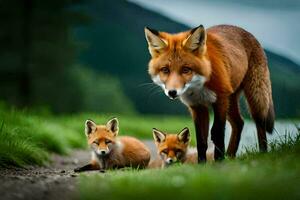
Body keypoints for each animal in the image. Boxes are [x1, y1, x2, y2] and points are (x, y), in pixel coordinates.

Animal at [145, 24, 274, 161]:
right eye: (165, 70)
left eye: (186, 69)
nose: (172, 92)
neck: (197, 88)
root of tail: (245, 31)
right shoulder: (197, 106)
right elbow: (201, 141)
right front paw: (202, 163)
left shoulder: (220, 100)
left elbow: (217, 134)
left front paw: (219, 161)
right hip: (231, 100)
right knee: (239, 123)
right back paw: (230, 156)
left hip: (254, 95)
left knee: (260, 122)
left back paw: (262, 153)